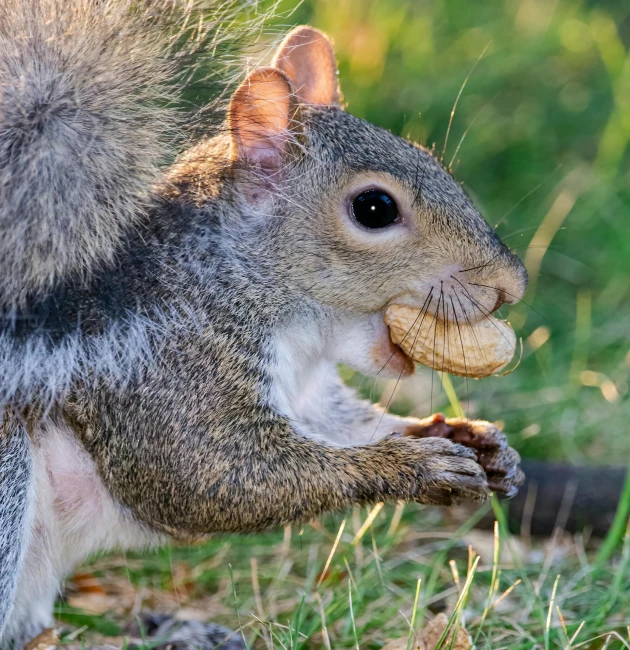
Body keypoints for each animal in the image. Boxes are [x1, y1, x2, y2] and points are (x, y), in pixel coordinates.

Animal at [1, 0, 528, 644]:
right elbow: (206, 470)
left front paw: (468, 438)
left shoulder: (310, 394)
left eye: (430, 160)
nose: (511, 284)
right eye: (374, 208)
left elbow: (341, 422)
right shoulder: (165, 361)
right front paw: (409, 466)